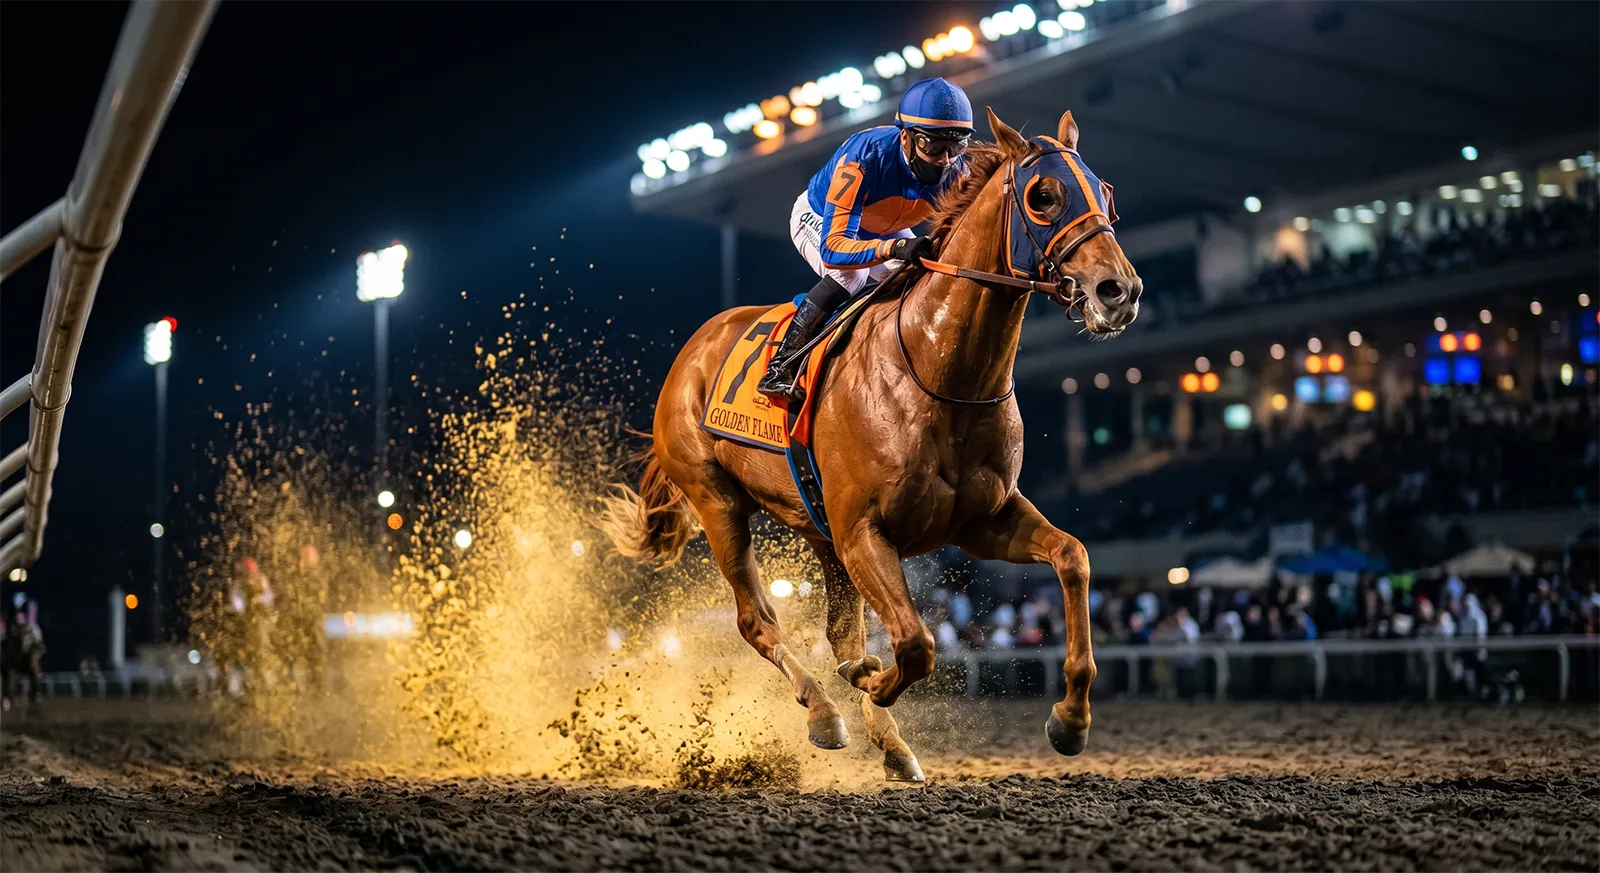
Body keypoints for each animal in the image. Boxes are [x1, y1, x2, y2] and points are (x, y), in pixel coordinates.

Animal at [597, 107, 1141, 780]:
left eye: (1107, 193)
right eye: (1043, 196)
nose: (1119, 291)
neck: (938, 372)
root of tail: (692, 353)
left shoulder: (980, 520)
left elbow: (1073, 557)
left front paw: (1070, 719)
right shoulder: (864, 531)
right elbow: (914, 644)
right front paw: (868, 683)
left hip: (819, 527)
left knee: (839, 631)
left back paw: (890, 740)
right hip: (718, 500)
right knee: (758, 622)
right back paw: (824, 712)